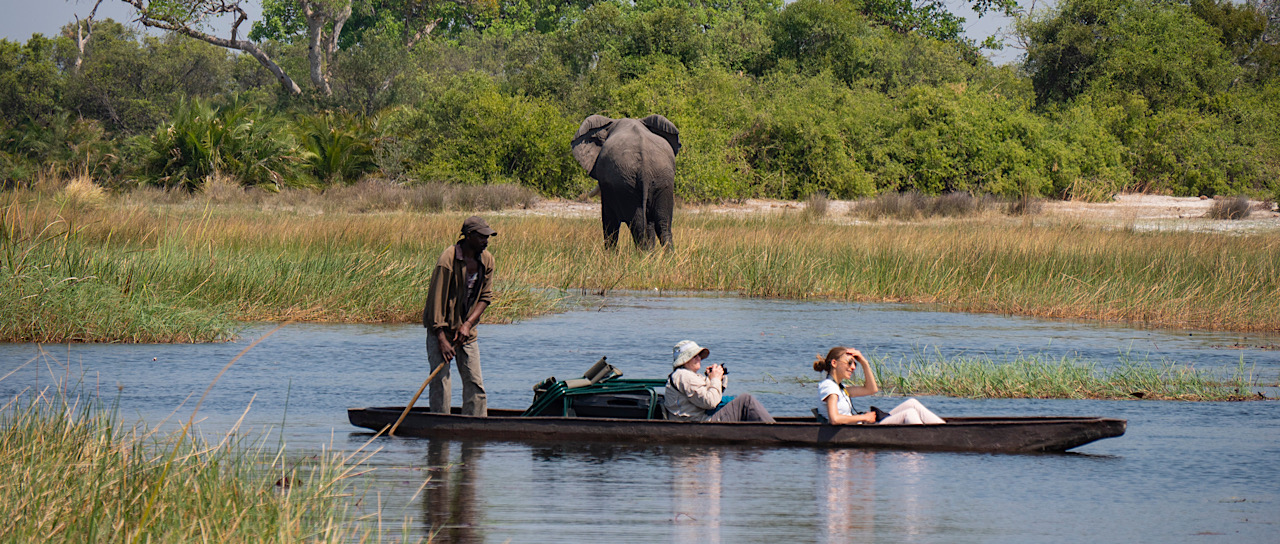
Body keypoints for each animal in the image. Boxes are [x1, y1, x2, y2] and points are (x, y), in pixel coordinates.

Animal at [568, 115, 680, 249]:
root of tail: (645, 167)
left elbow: (609, 218)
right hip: (662, 179)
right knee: (662, 223)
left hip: (626, 184)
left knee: (638, 225)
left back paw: (644, 254)